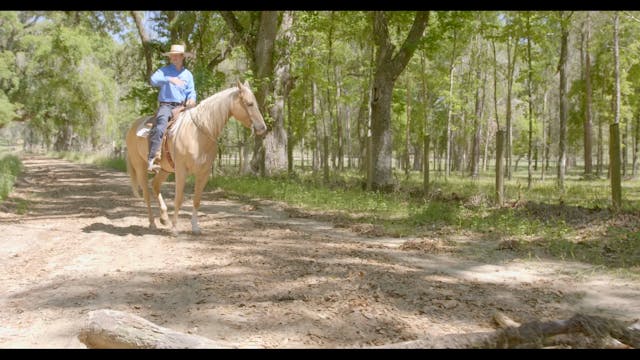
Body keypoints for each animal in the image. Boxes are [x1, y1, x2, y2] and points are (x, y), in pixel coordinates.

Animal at [126, 80, 266, 235]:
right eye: (249, 103)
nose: (262, 128)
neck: (197, 134)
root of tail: (133, 127)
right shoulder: (181, 170)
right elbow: (179, 198)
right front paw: (175, 228)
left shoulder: (204, 172)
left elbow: (197, 199)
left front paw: (195, 227)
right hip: (140, 166)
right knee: (146, 193)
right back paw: (152, 223)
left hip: (165, 169)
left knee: (155, 185)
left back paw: (164, 218)